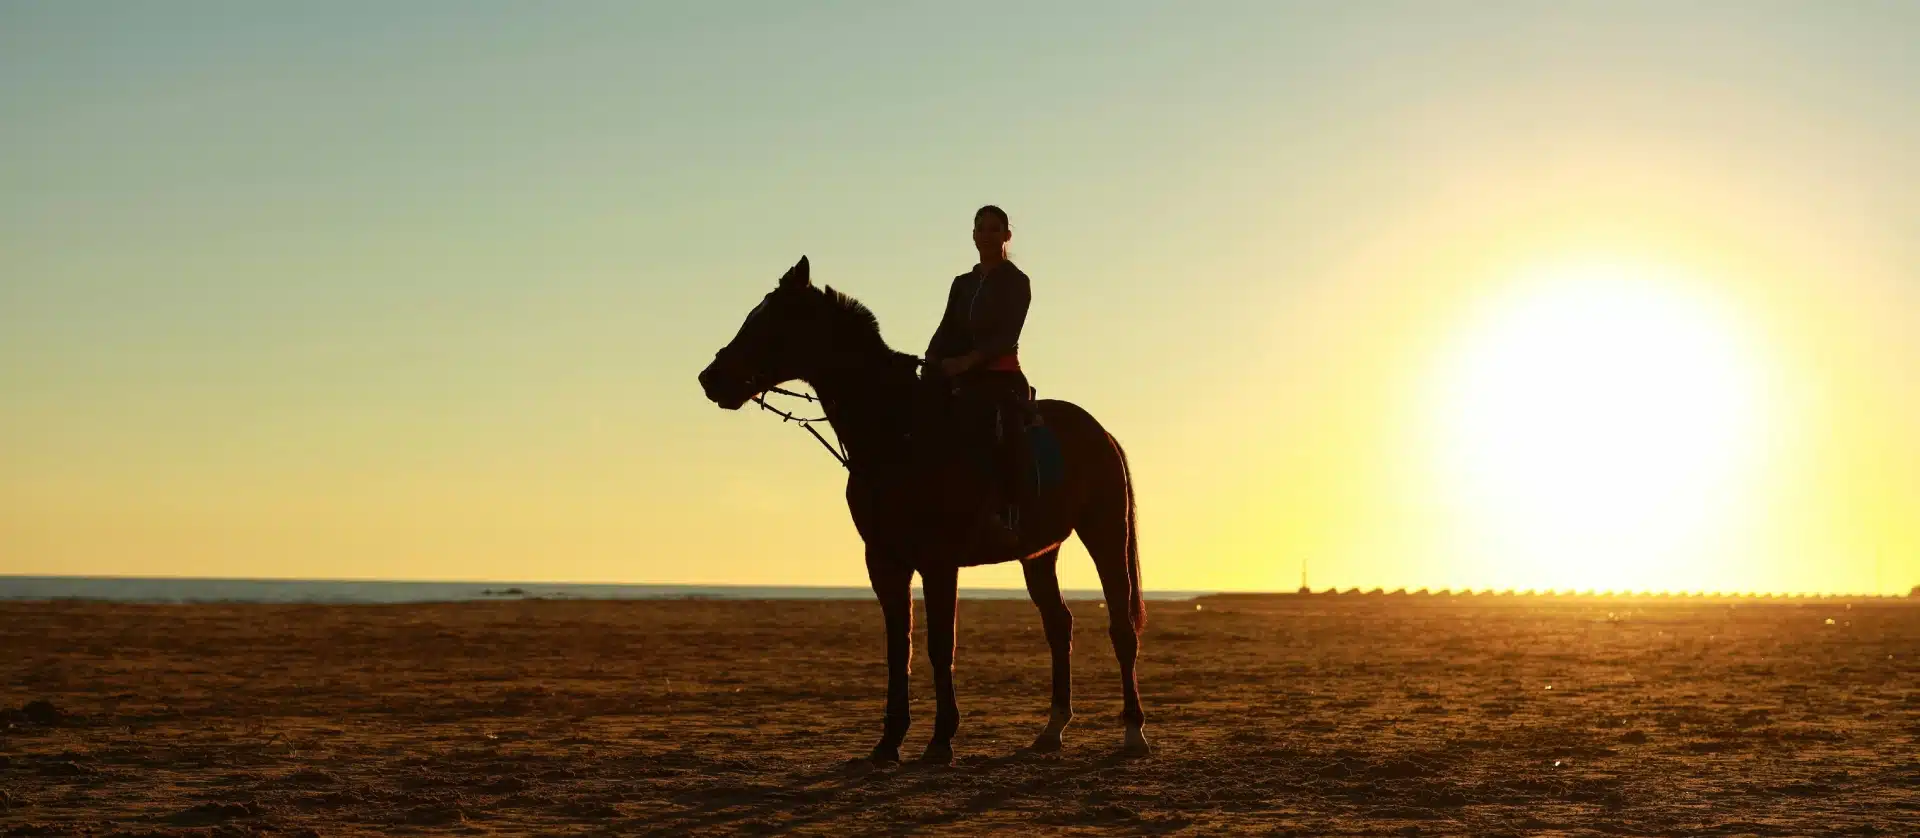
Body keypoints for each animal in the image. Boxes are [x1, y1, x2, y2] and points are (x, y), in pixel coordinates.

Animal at [698, 255, 1144, 764]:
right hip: (1039, 554)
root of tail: (1101, 433)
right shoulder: (884, 561)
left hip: (1105, 533)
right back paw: (1052, 730)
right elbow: (900, 648)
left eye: (769, 321)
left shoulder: (938, 562)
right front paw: (888, 741)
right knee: (1059, 625)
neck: (898, 433)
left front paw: (940, 739)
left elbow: (939, 645)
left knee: (1121, 627)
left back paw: (1134, 733)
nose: (711, 378)